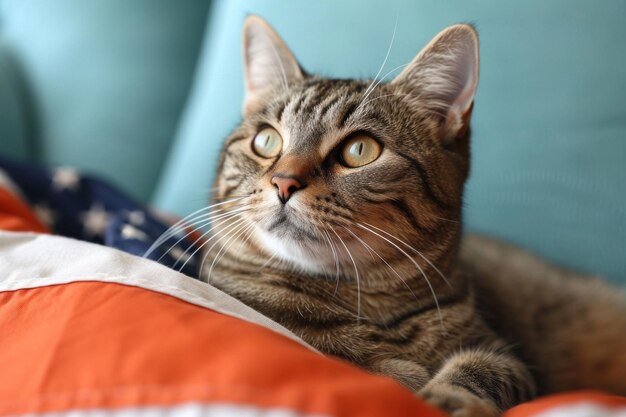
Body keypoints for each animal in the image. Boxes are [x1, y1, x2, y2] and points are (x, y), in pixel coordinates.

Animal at [197, 14, 624, 414]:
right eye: (266, 141)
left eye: (360, 150)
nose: (284, 182)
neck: (367, 302)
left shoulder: (503, 354)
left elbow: (480, 370)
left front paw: (447, 396)